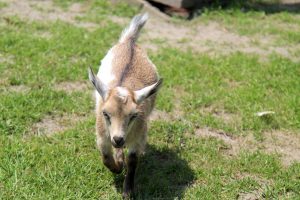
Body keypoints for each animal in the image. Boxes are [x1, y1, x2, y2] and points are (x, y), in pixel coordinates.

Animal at [88, 13, 163, 198]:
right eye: (105, 114)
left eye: (134, 115)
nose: (118, 138)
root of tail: (129, 41)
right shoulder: (102, 136)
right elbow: (105, 158)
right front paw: (117, 167)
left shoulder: (139, 136)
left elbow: (133, 161)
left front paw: (128, 192)